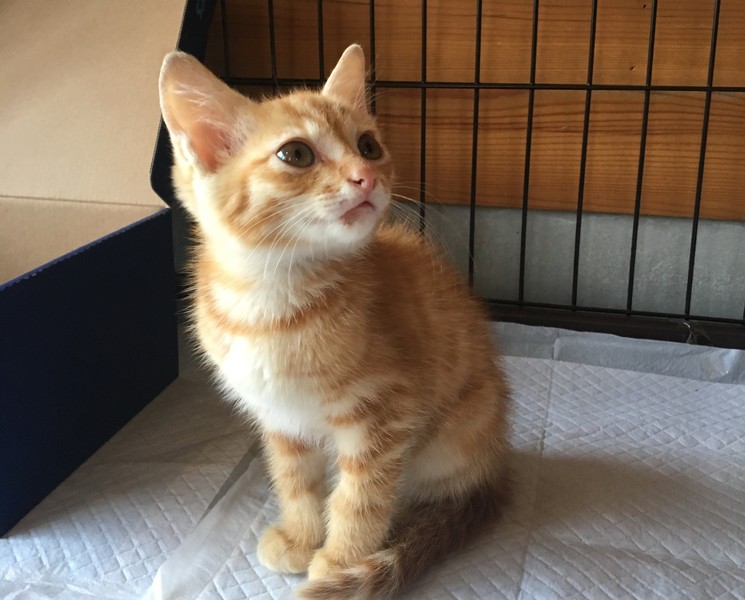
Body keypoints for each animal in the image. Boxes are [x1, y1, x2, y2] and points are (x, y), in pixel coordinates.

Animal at [158, 44, 511, 600]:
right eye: (296, 154)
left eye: (369, 145)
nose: (367, 176)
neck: (270, 303)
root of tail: (497, 461)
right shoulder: (280, 419)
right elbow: (295, 481)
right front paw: (302, 538)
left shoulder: (387, 414)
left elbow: (360, 496)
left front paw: (340, 562)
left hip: (449, 437)